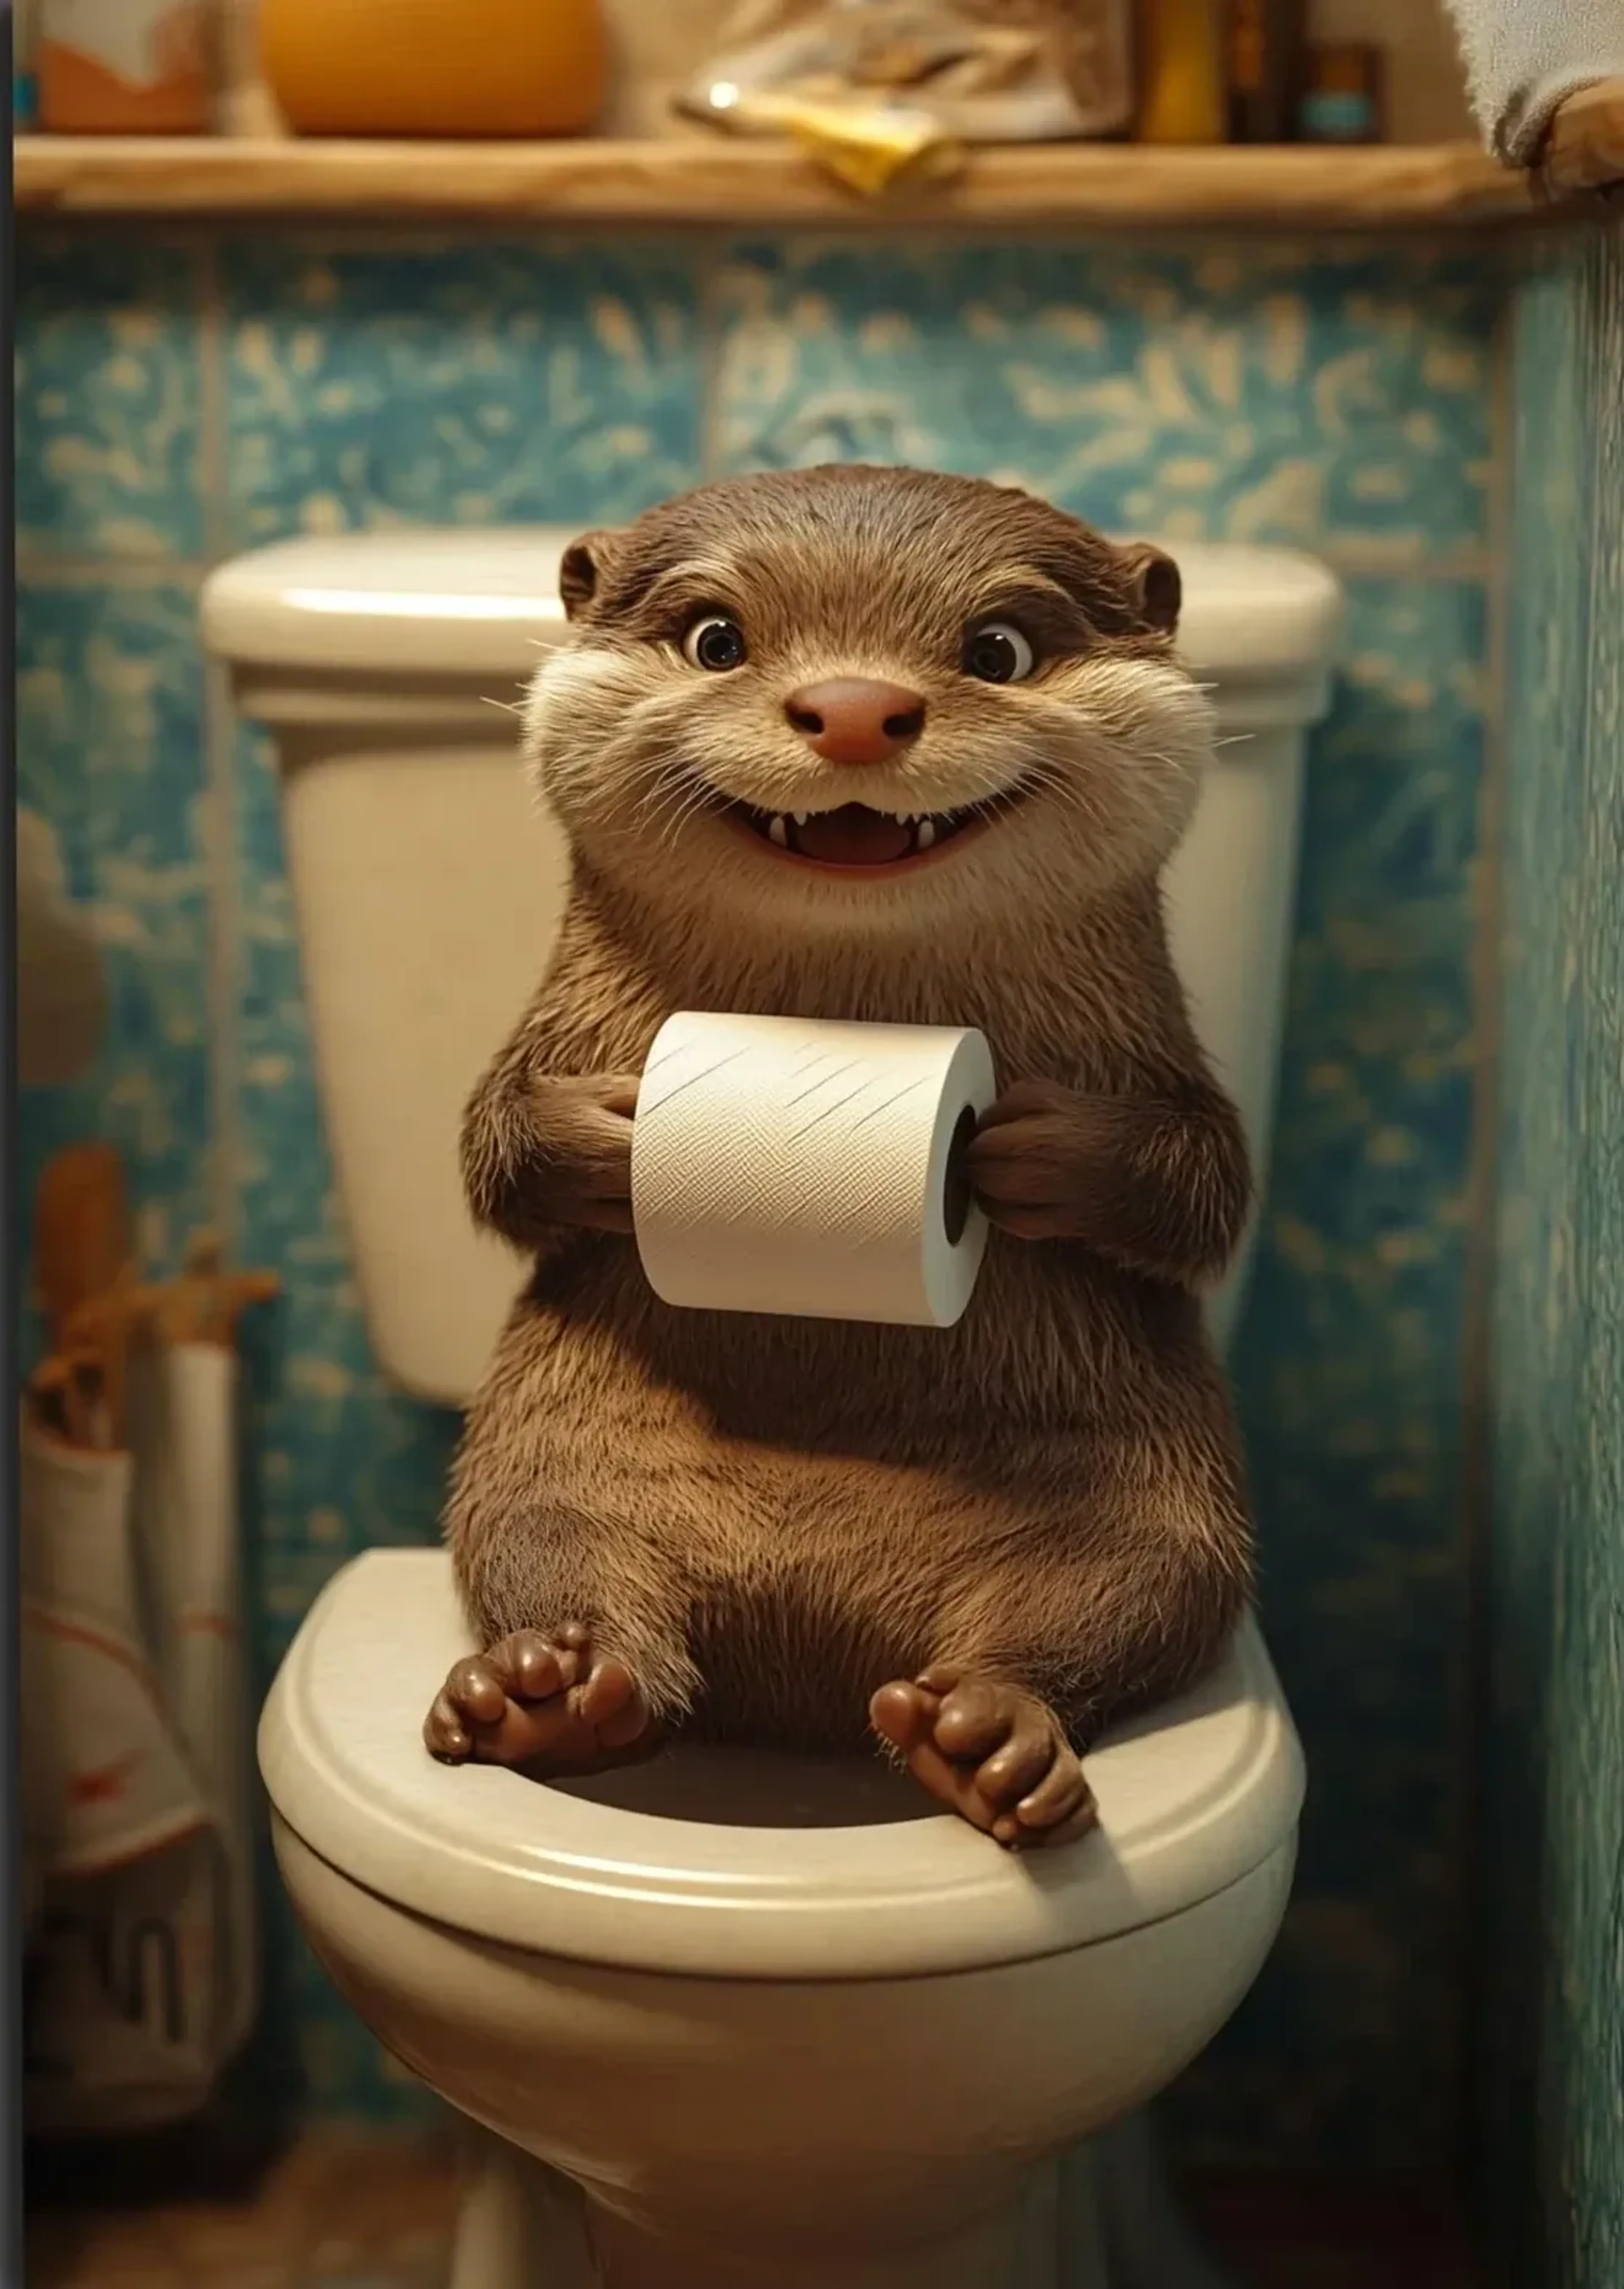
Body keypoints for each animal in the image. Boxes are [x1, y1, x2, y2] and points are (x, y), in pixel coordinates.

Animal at [422, 465, 1254, 1850]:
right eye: (716, 638)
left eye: (999, 648)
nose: (857, 709)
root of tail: (812, 1619)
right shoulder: (553, 1029)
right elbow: (488, 1140)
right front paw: (596, 1137)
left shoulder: (1161, 1057)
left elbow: (1208, 1181)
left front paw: (1044, 1152)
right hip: (545, 1460)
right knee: (556, 1560)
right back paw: (543, 1695)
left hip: (1163, 1501)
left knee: (1124, 1593)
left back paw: (988, 1739)